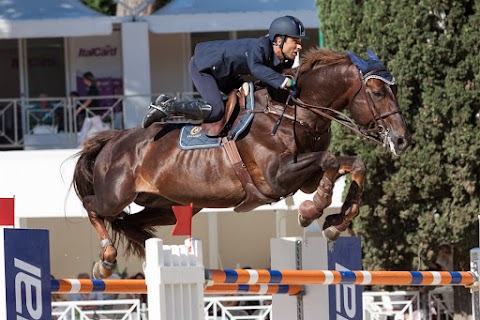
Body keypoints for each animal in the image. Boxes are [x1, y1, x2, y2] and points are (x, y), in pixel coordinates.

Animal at [73, 47, 410, 278]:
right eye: (377, 92)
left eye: (393, 89)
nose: (402, 140)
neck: (293, 111)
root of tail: (112, 141)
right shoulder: (277, 176)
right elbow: (328, 161)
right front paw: (311, 211)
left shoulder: (305, 177)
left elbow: (351, 164)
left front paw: (335, 222)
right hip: (115, 196)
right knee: (93, 207)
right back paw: (106, 261)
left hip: (166, 206)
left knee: (129, 222)